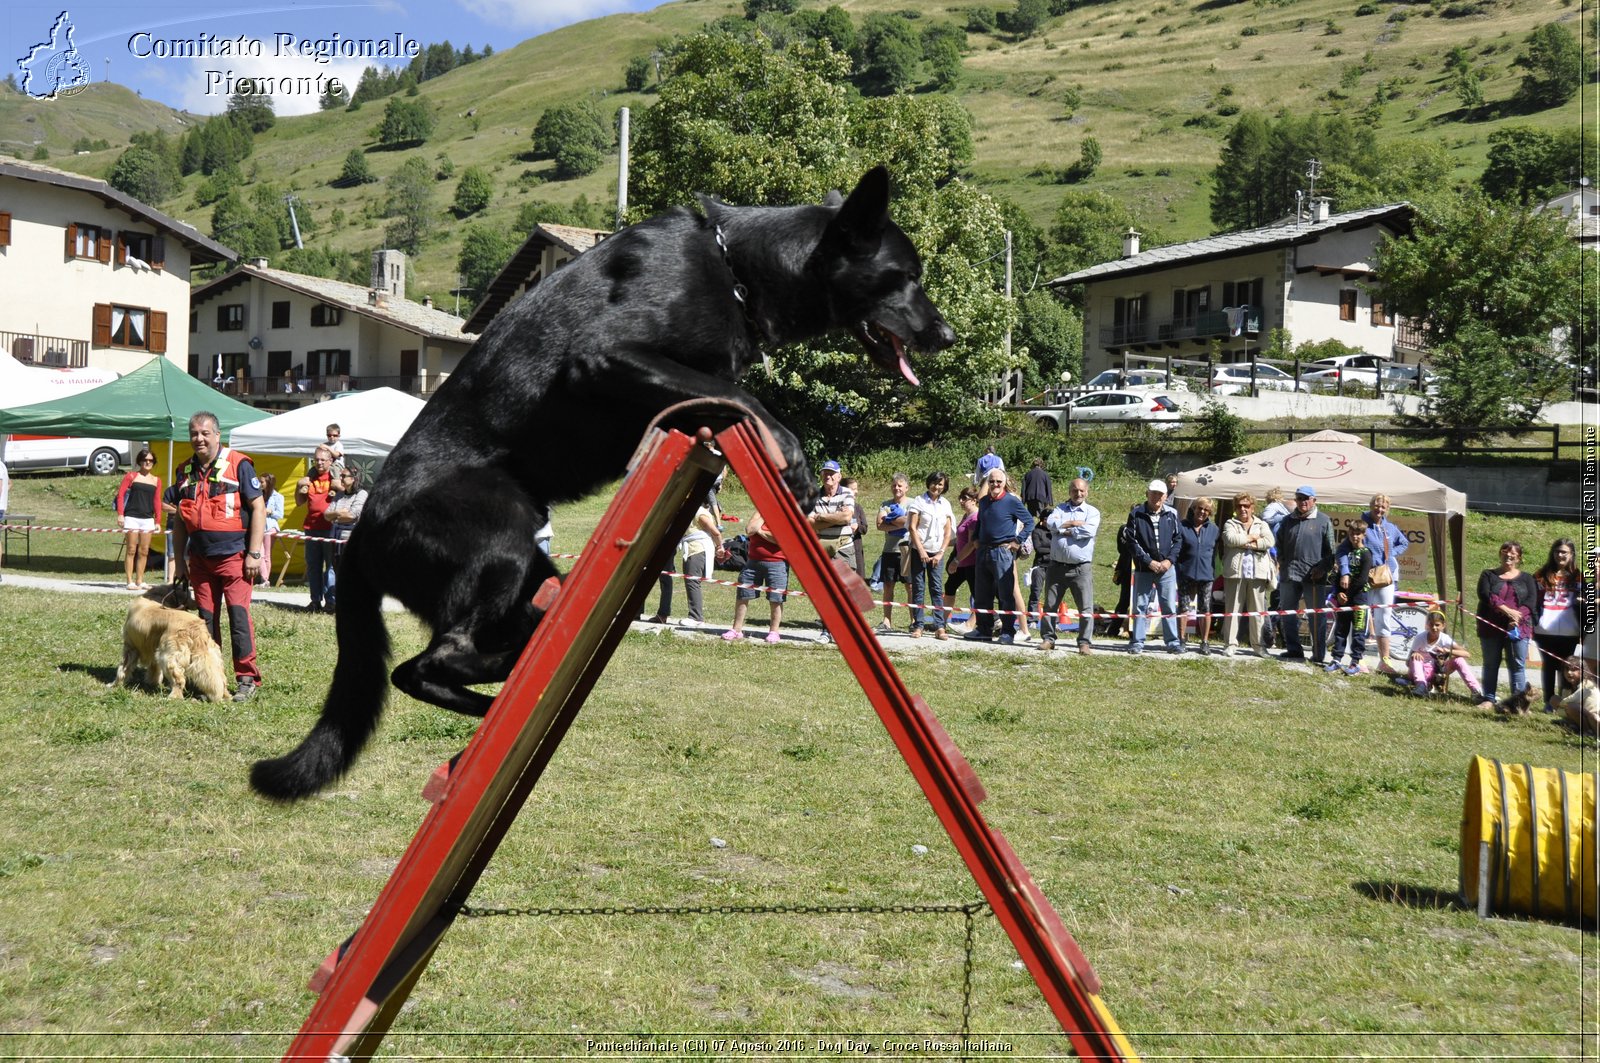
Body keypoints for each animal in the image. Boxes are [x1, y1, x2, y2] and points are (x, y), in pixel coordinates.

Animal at [246, 164, 947, 797]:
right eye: (906, 277)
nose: (946, 334)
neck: (735, 270)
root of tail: (360, 531)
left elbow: (729, 393)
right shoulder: (608, 357)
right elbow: (742, 395)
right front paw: (795, 458)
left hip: (531, 572)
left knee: (452, 657)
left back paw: (503, 687)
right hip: (503, 540)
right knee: (426, 665)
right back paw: (499, 677)